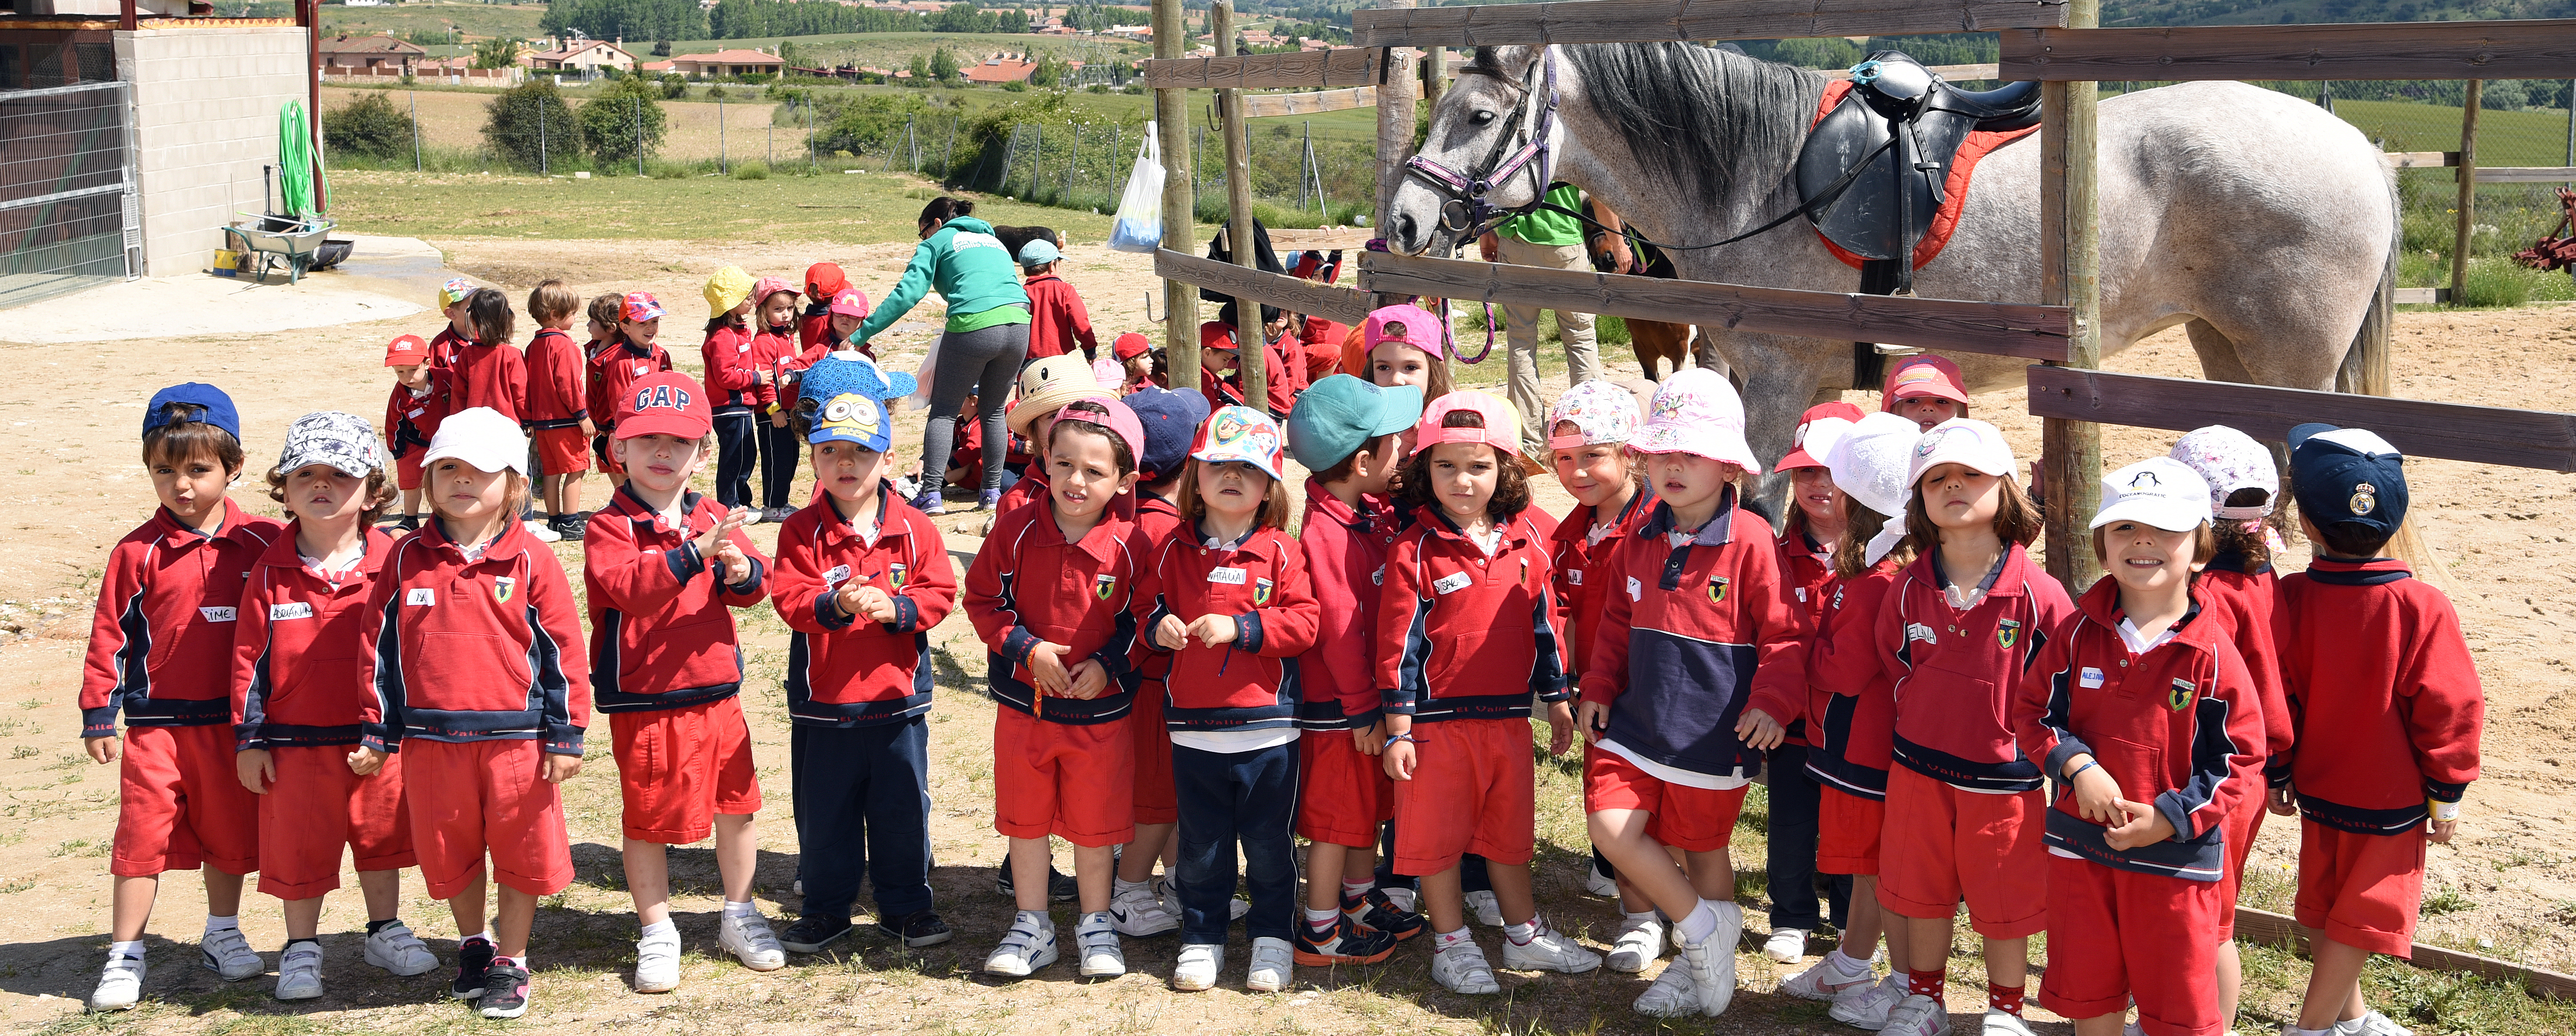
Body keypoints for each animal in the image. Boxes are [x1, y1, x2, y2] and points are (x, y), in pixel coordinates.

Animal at [1391, 46, 2390, 513]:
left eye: (1476, 116)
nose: (1401, 221)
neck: (1757, 176)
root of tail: (2355, 143)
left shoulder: (1779, 378)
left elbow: (1763, 502)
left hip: (2288, 363)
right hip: (2226, 350)